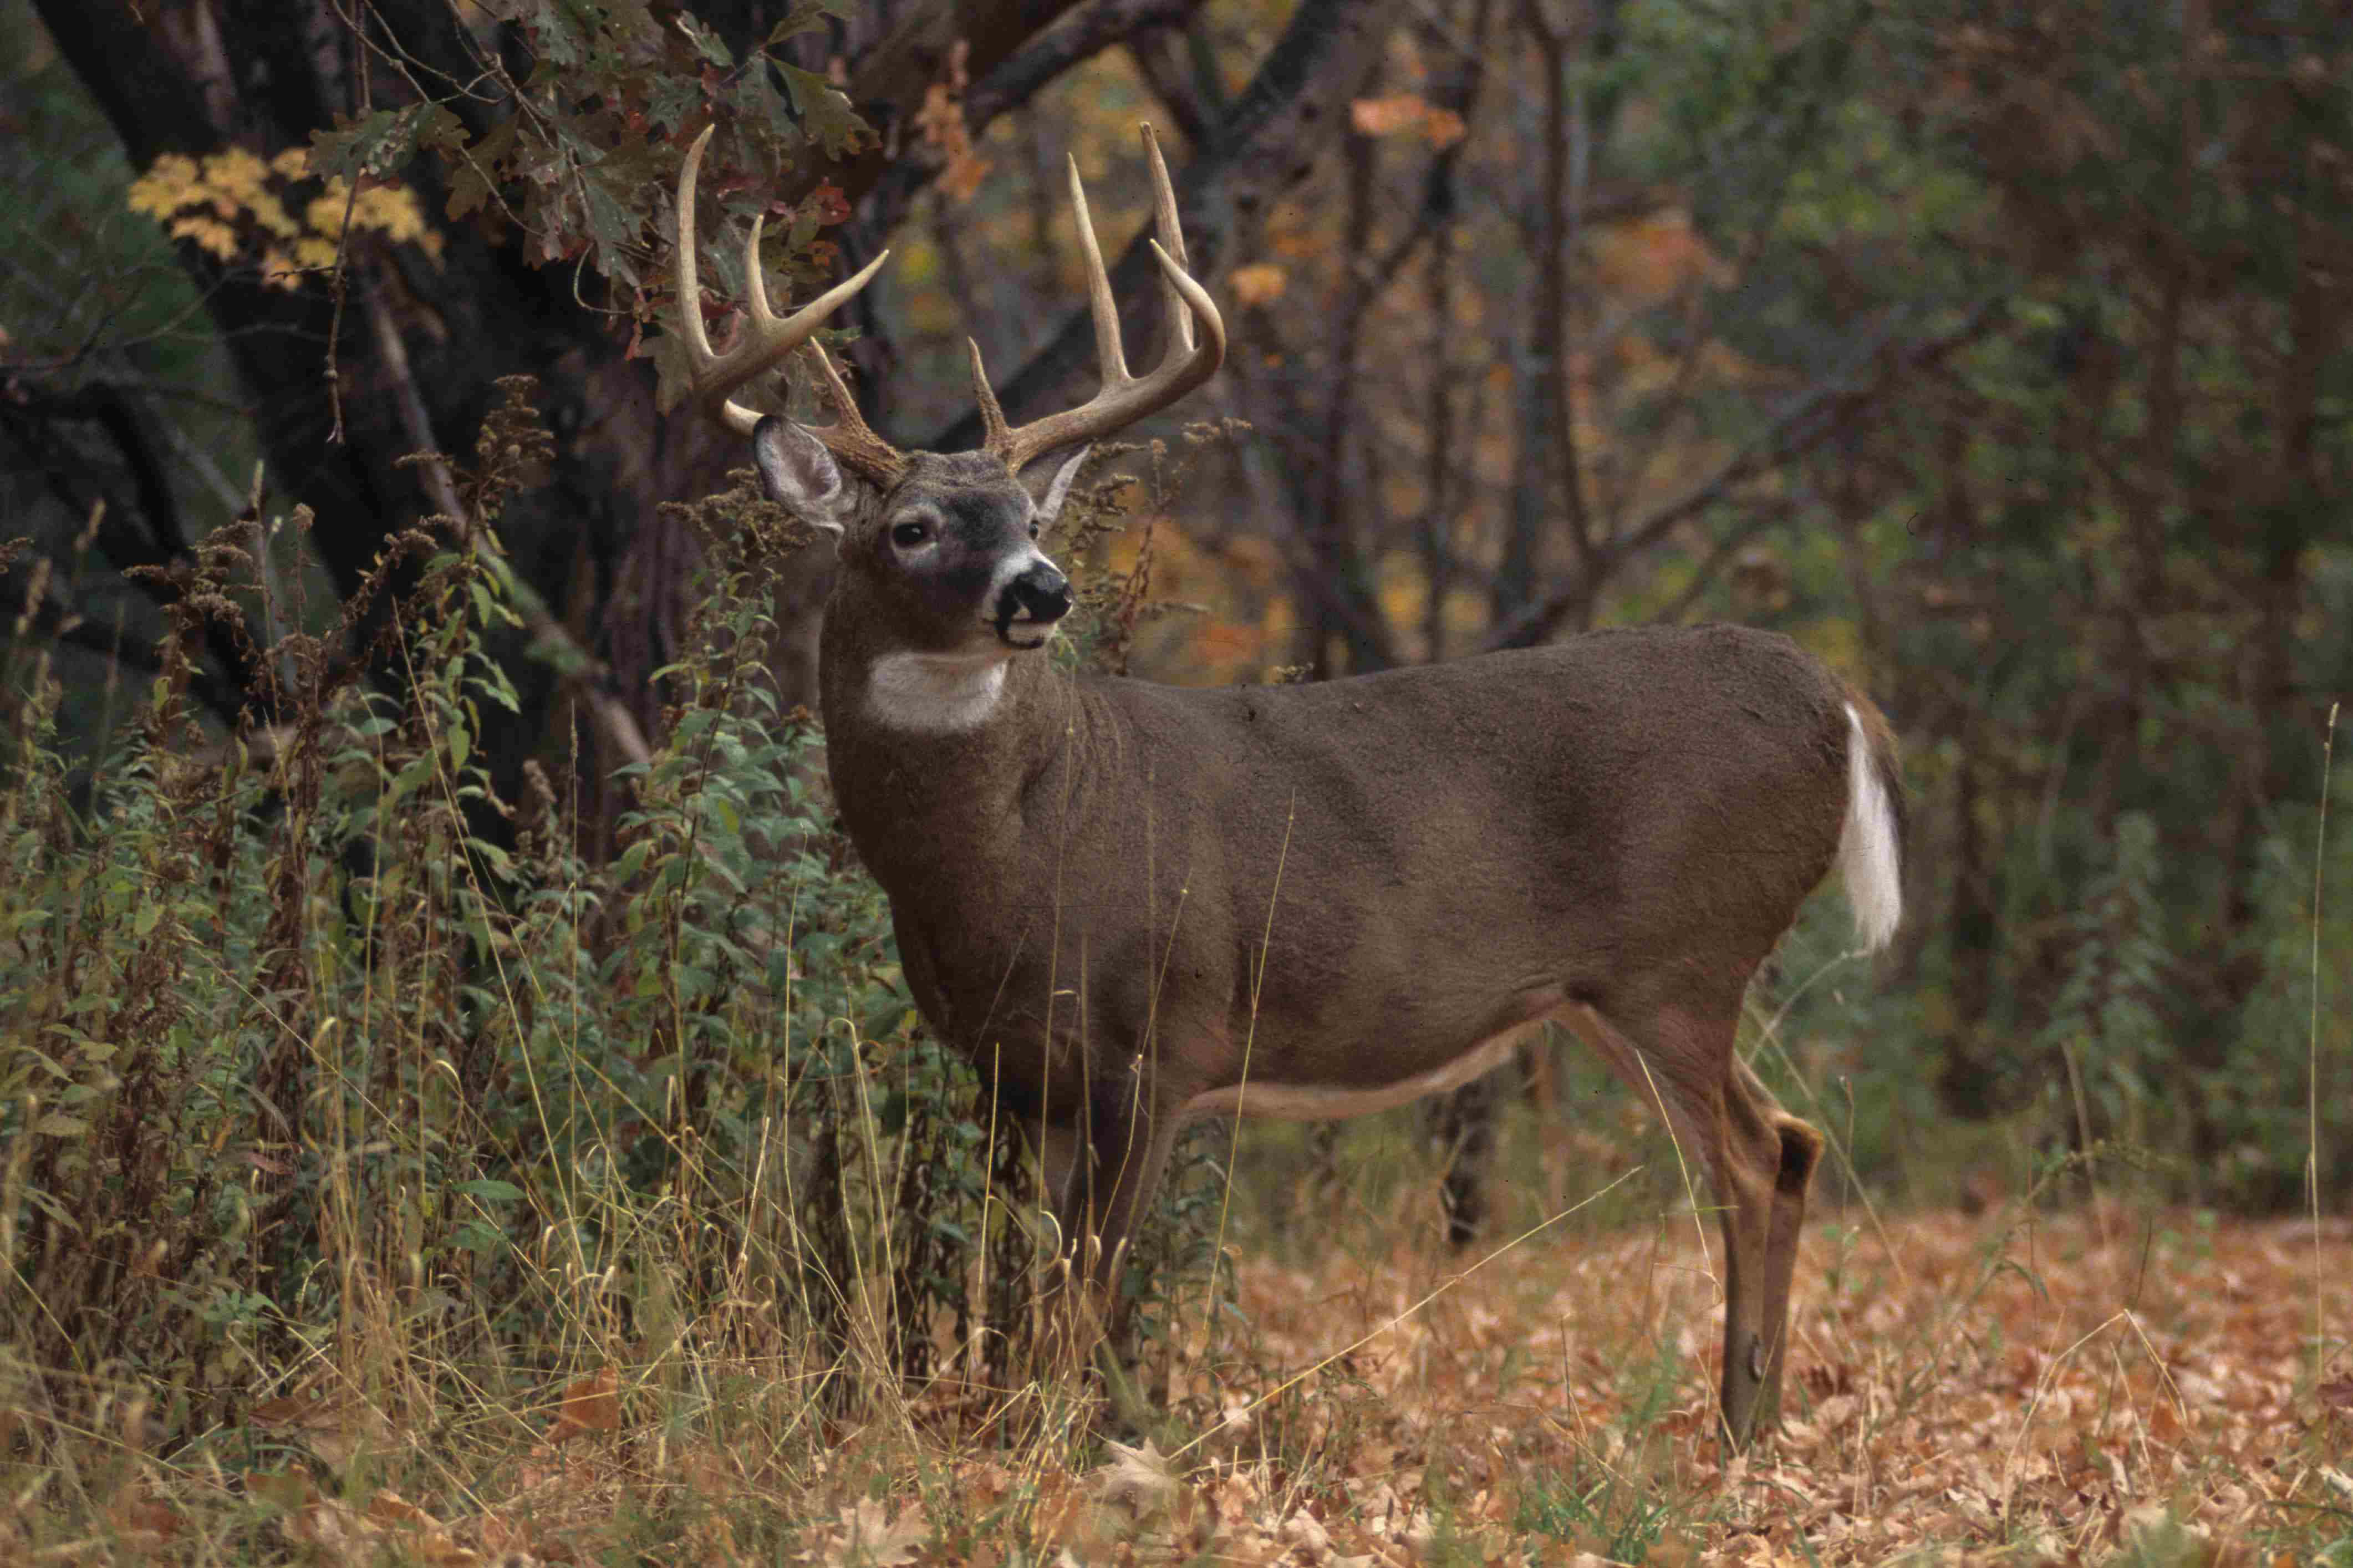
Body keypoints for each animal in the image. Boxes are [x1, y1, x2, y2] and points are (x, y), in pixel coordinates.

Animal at [668, 121, 1905, 1451]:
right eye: (911, 526)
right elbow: (1042, 1280)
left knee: (1750, 1157)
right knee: (1788, 1143)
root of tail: (1835, 696)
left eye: (1023, 515)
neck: (1013, 857)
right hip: (1615, 990)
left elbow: (1089, 1285)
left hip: (1683, 958)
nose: (1043, 587)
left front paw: (1087, 1449)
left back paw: (1734, 1433)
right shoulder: (1014, 1070)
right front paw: (1055, 1434)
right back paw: (1749, 1425)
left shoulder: (1158, 1039)